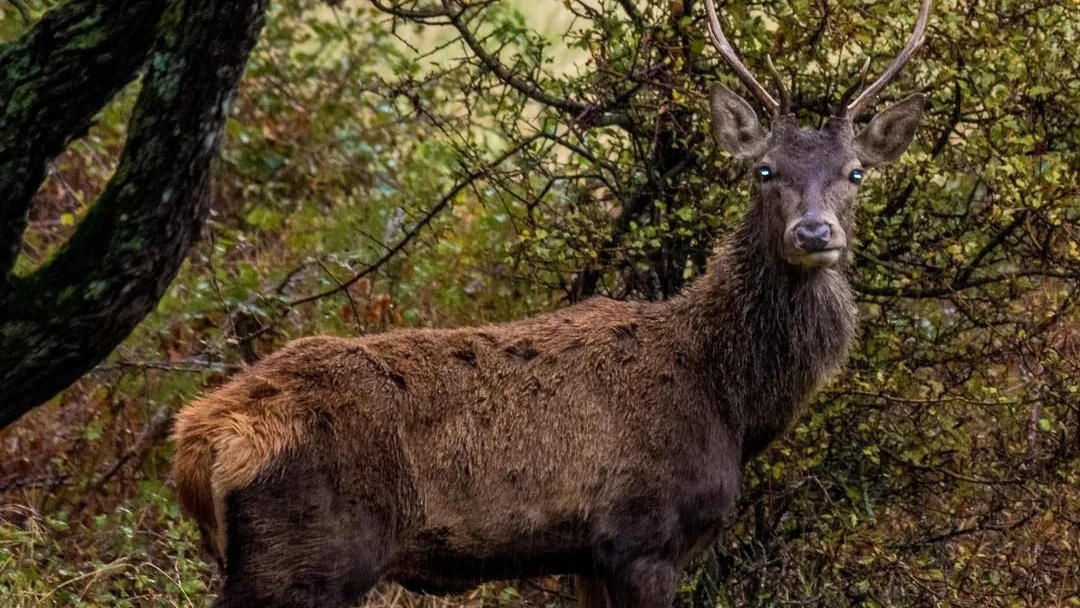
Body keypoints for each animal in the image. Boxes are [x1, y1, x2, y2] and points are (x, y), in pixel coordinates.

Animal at [171, 0, 931, 606]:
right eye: (764, 170)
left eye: (855, 173)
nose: (814, 233)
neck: (732, 401)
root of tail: (201, 439)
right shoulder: (644, 537)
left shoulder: (584, 558)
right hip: (308, 554)